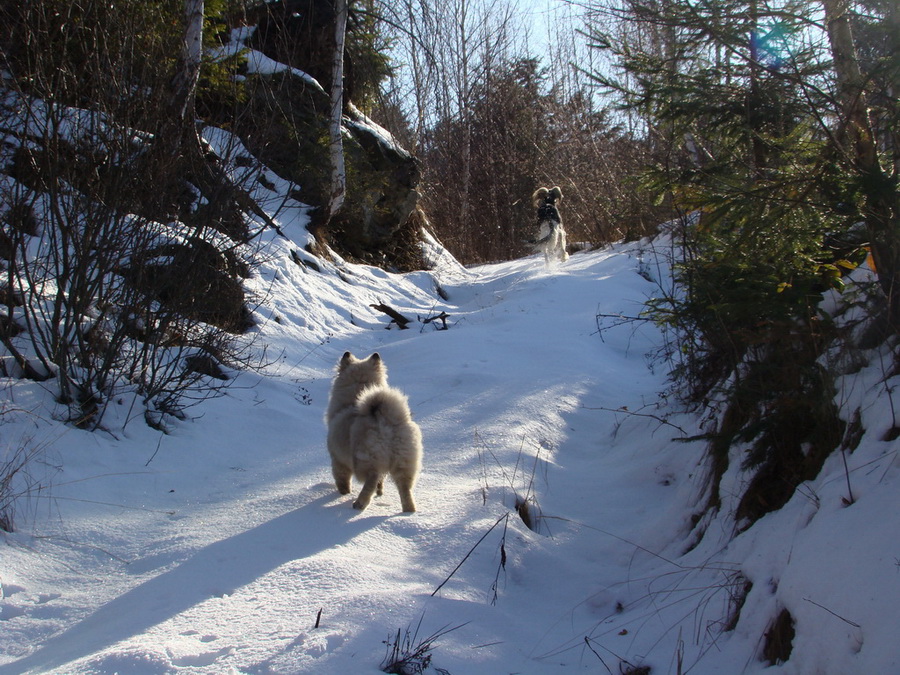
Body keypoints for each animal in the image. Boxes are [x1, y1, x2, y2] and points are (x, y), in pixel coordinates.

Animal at [324, 354, 422, 512]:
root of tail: (384, 423)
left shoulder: (337, 458)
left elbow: (342, 478)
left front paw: (344, 492)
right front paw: (380, 492)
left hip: (366, 460)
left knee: (371, 480)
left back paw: (359, 503)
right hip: (404, 461)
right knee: (404, 487)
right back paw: (409, 509)